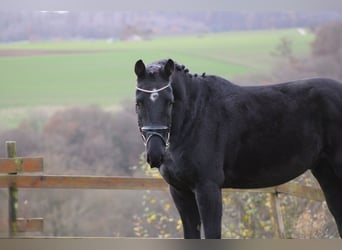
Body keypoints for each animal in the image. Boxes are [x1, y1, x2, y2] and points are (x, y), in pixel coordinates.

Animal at [134, 58, 342, 238]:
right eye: (139, 103)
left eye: (170, 101)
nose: (155, 154)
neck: (194, 117)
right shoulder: (180, 191)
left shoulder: (207, 189)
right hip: (325, 171)